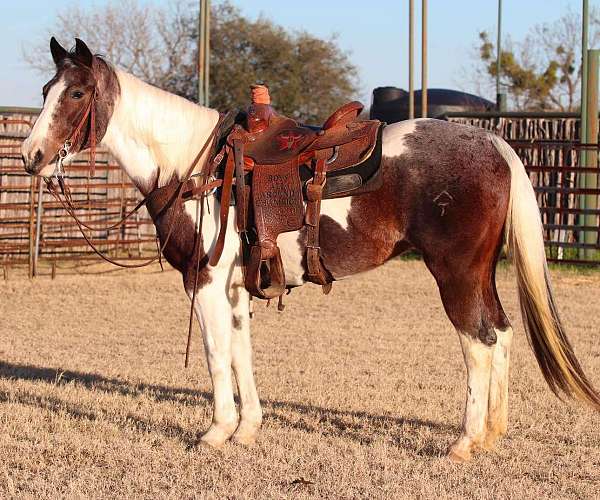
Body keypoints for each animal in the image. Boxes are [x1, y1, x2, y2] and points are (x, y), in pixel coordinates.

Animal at [21, 38, 596, 460]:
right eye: (46, 88)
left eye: (75, 94)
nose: (31, 156)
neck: (195, 168)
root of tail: (494, 143)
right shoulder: (236, 287)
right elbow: (241, 352)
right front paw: (247, 429)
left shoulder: (203, 282)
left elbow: (214, 354)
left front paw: (215, 432)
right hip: (480, 272)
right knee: (501, 333)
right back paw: (494, 434)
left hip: (454, 273)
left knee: (478, 342)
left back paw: (463, 442)